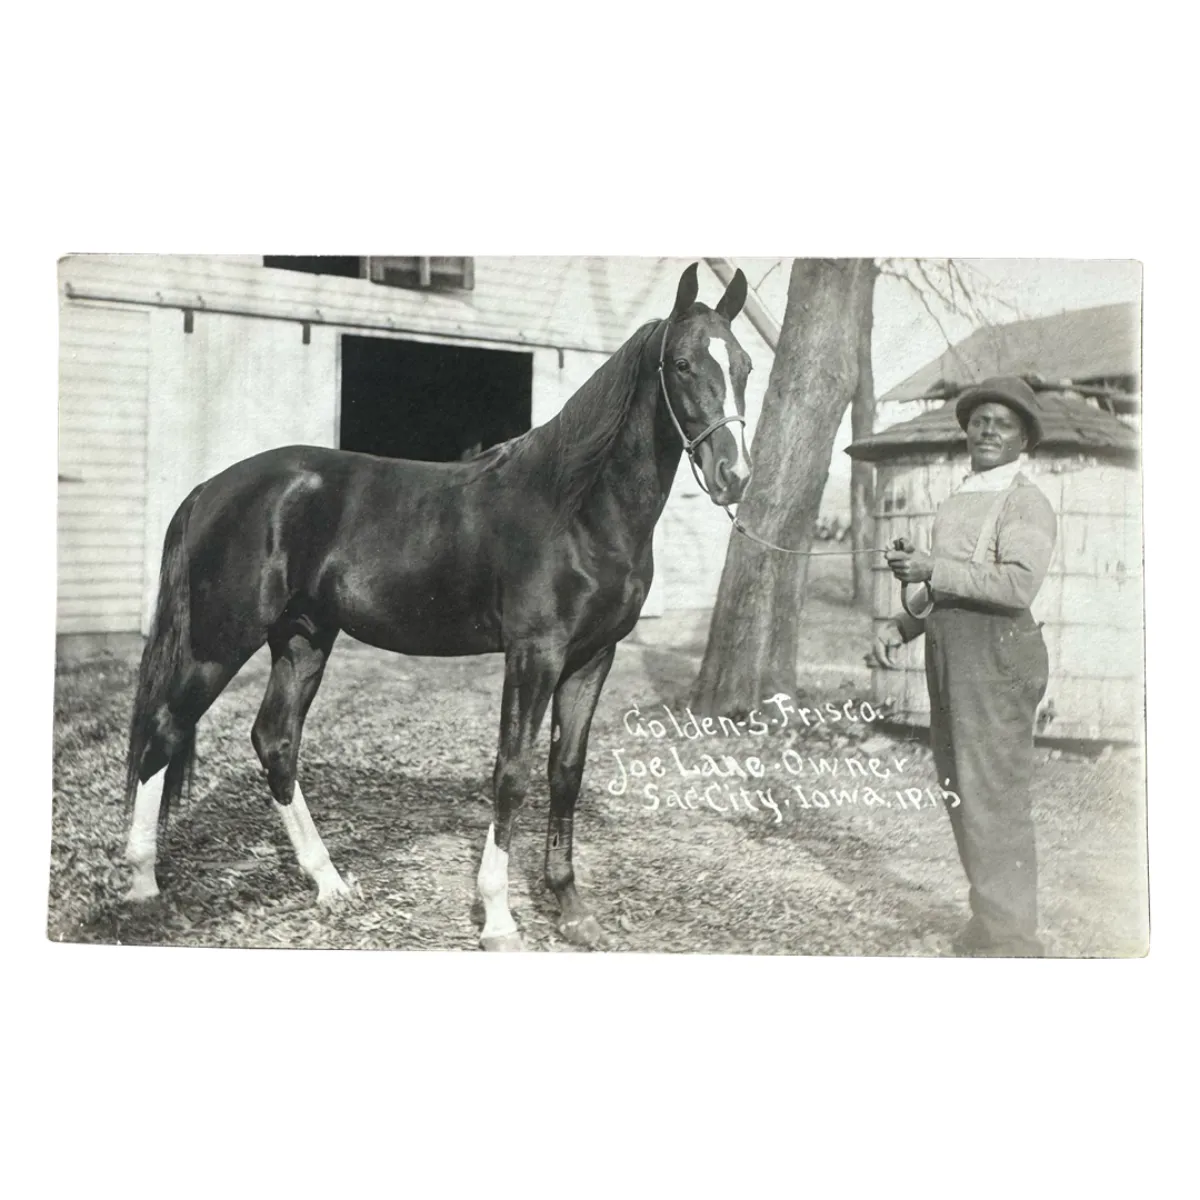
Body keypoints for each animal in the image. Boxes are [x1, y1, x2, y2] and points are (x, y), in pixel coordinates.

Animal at [122, 261, 753, 950]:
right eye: (683, 363)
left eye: (745, 365)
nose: (734, 476)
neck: (579, 509)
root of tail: (211, 487)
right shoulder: (534, 654)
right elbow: (512, 773)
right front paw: (499, 918)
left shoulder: (593, 657)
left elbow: (565, 771)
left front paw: (572, 909)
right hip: (218, 642)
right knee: (163, 732)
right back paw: (142, 886)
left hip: (303, 638)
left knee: (274, 740)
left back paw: (329, 884)